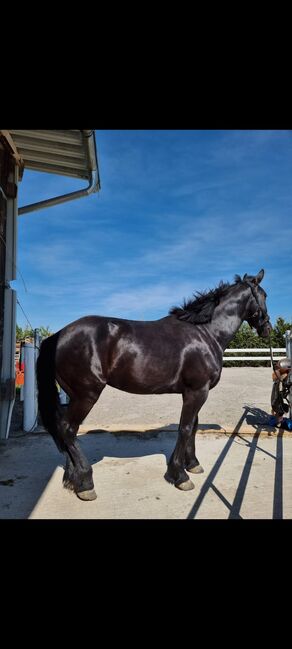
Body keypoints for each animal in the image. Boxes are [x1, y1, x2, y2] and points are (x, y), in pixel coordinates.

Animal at [36, 268, 272, 502]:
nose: (267, 329)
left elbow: (193, 427)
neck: (206, 332)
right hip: (86, 395)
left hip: (74, 395)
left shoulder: (194, 392)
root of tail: (57, 336)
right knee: (68, 429)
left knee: (66, 430)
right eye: (265, 295)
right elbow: (185, 428)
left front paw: (193, 464)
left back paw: (72, 478)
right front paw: (180, 475)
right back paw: (85, 482)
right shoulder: (197, 391)